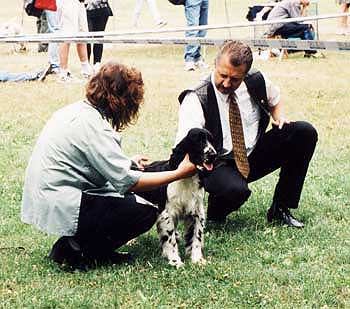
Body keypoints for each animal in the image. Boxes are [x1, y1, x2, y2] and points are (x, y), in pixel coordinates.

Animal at [156, 127, 216, 268]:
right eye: (198, 140)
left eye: (212, 141)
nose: (213, 155)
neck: (187, 178)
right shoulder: (167, 214)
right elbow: (171, 240)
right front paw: (175, 261)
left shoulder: (197, 212)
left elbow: (196, 237)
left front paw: (197, 259)